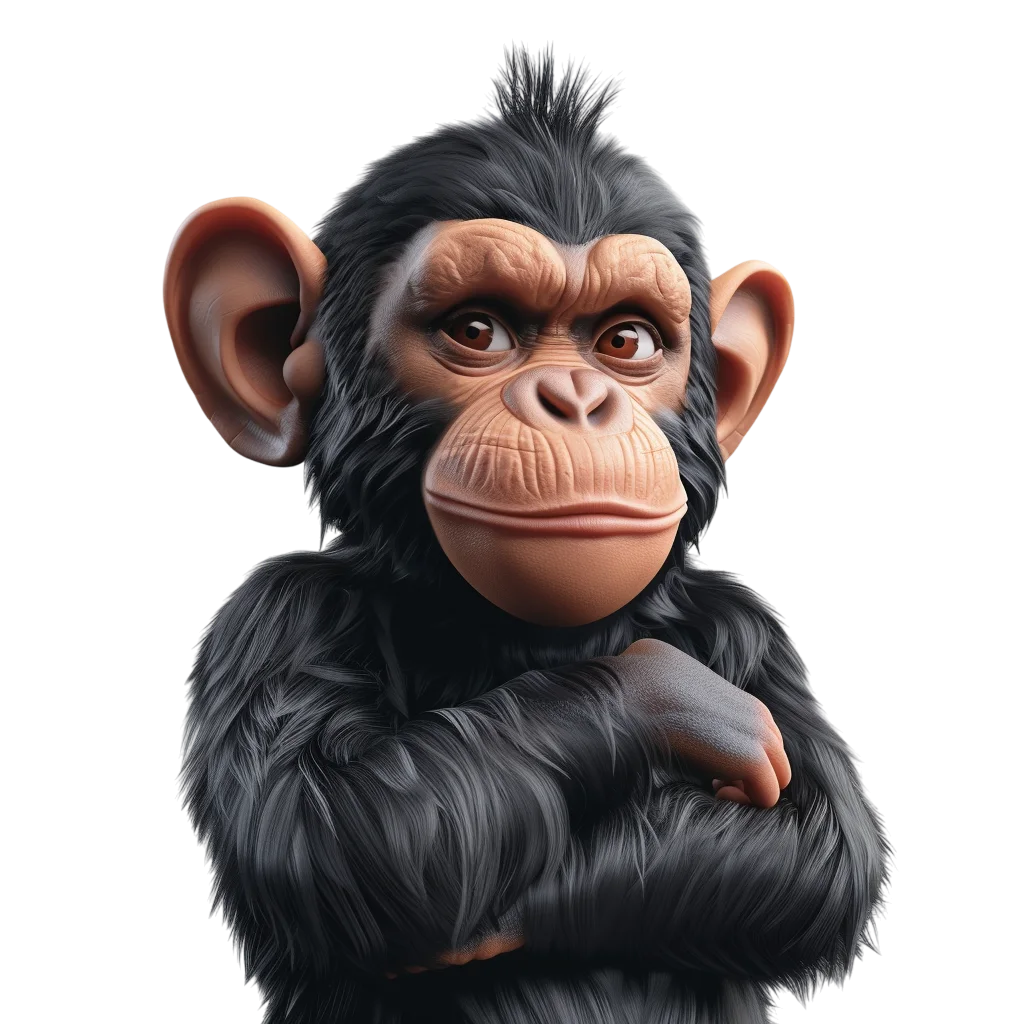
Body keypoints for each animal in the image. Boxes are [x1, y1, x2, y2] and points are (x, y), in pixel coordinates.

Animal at [166, 43, 895, 1024]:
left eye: (626, 341)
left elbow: (818, 845)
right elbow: (337, 829)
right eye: (478, 330)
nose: (577, 398)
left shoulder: (754, 627)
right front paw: (669, 697)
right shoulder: (274, 611)